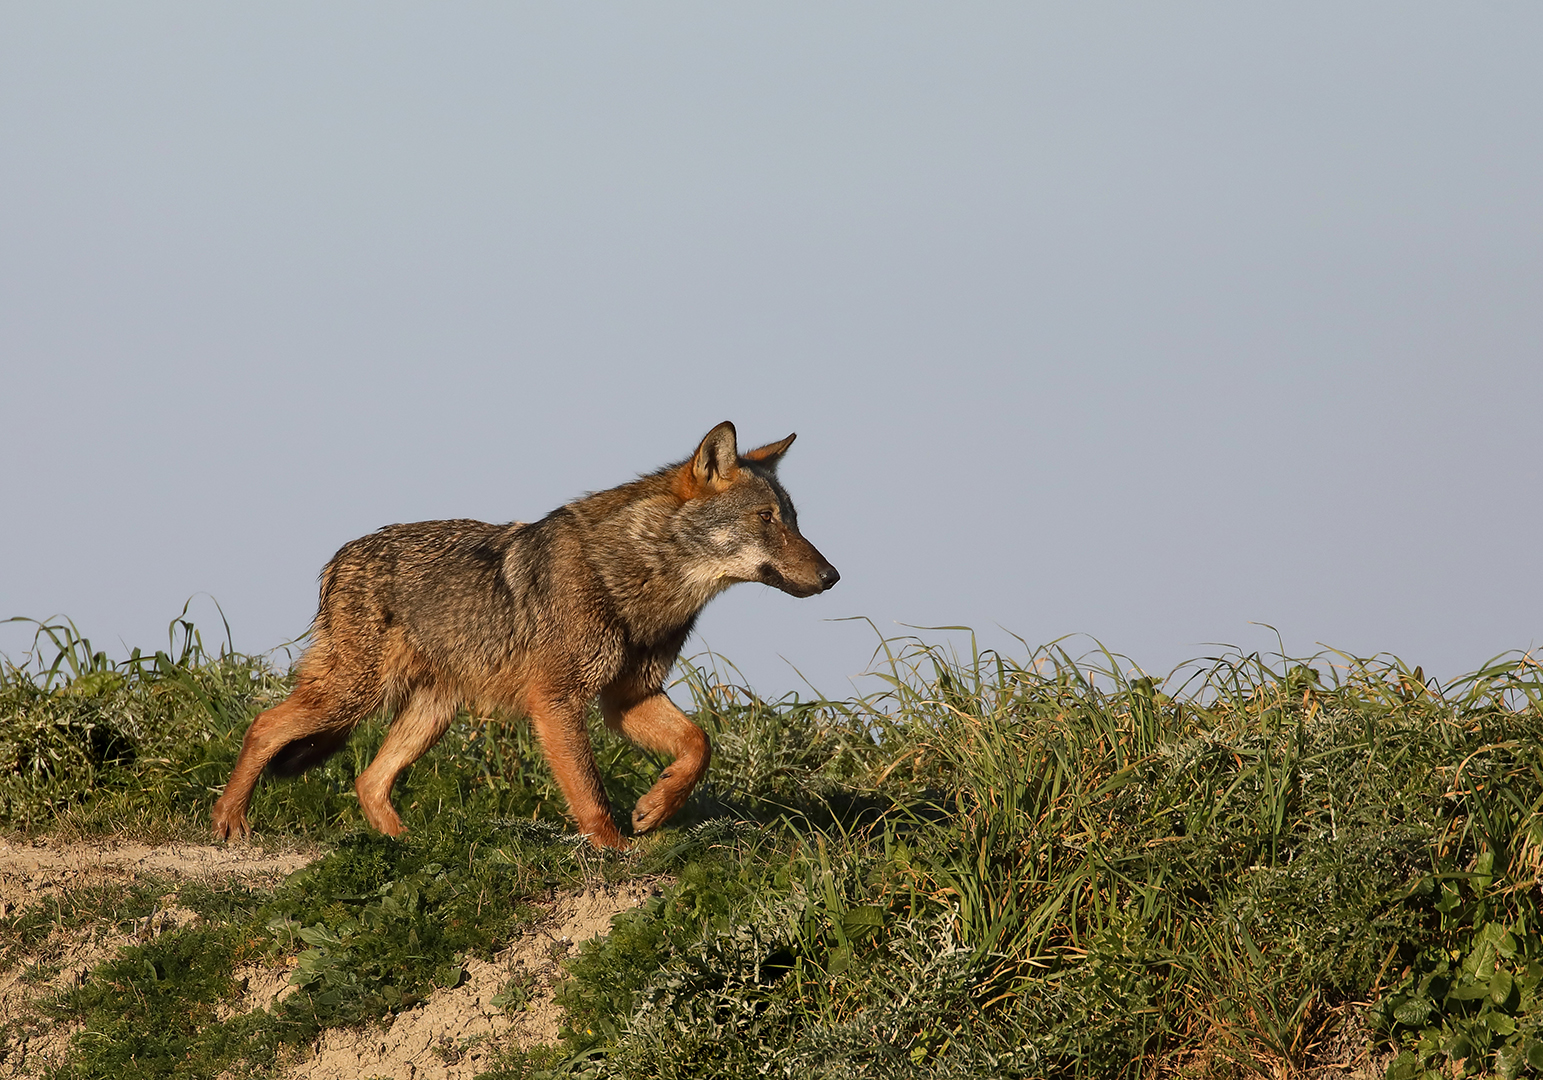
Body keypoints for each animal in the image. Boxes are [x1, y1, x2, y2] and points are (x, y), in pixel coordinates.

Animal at [211, 422, 839, 849]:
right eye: (767, 520)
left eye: (795, 520)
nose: (833, 576)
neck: (633, 580)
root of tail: (338, 558)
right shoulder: (557, 701)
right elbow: (589, 794)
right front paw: (615, 852)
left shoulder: (627, 697)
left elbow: (699, 746)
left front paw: (655, 808)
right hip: (353, 697)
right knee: (264, 726)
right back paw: (229, 822)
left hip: (429, 712)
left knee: (368, 780)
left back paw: (410, 847)